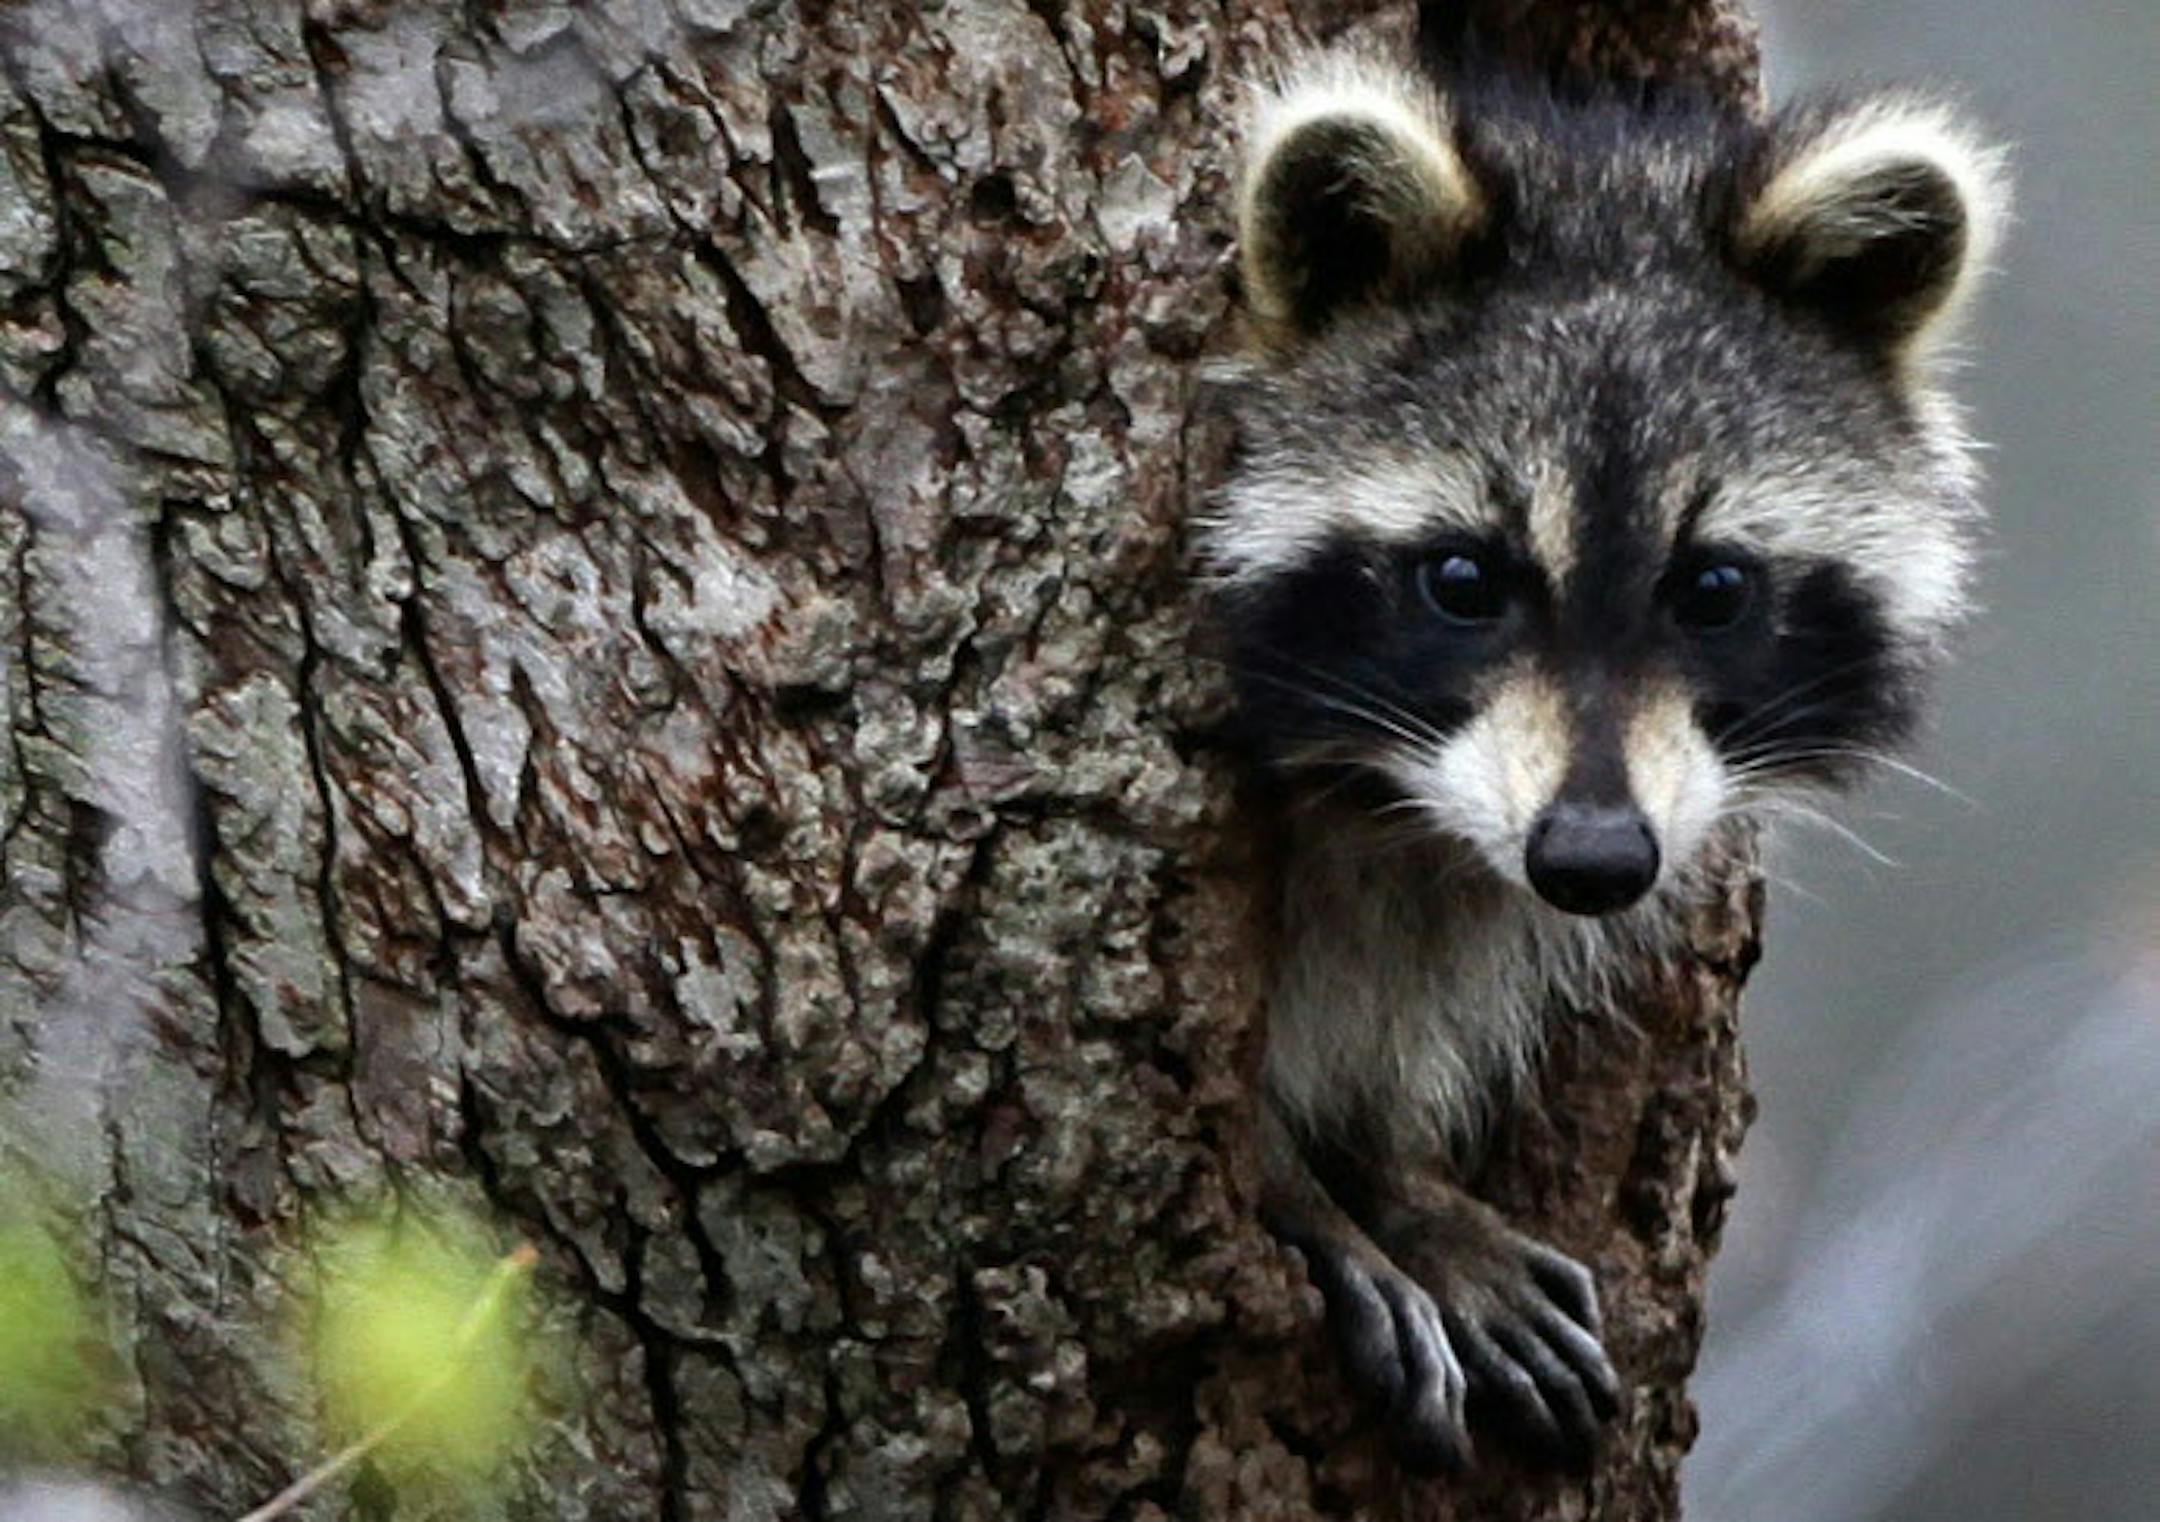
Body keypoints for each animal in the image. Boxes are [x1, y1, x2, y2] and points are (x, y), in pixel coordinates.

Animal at [1204, 46, 2008, 1471]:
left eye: (1715, 589)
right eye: (1463, 580)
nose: (1591, 857)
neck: (1394, 805)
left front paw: (1393, 1169)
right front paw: (1307, 1187)